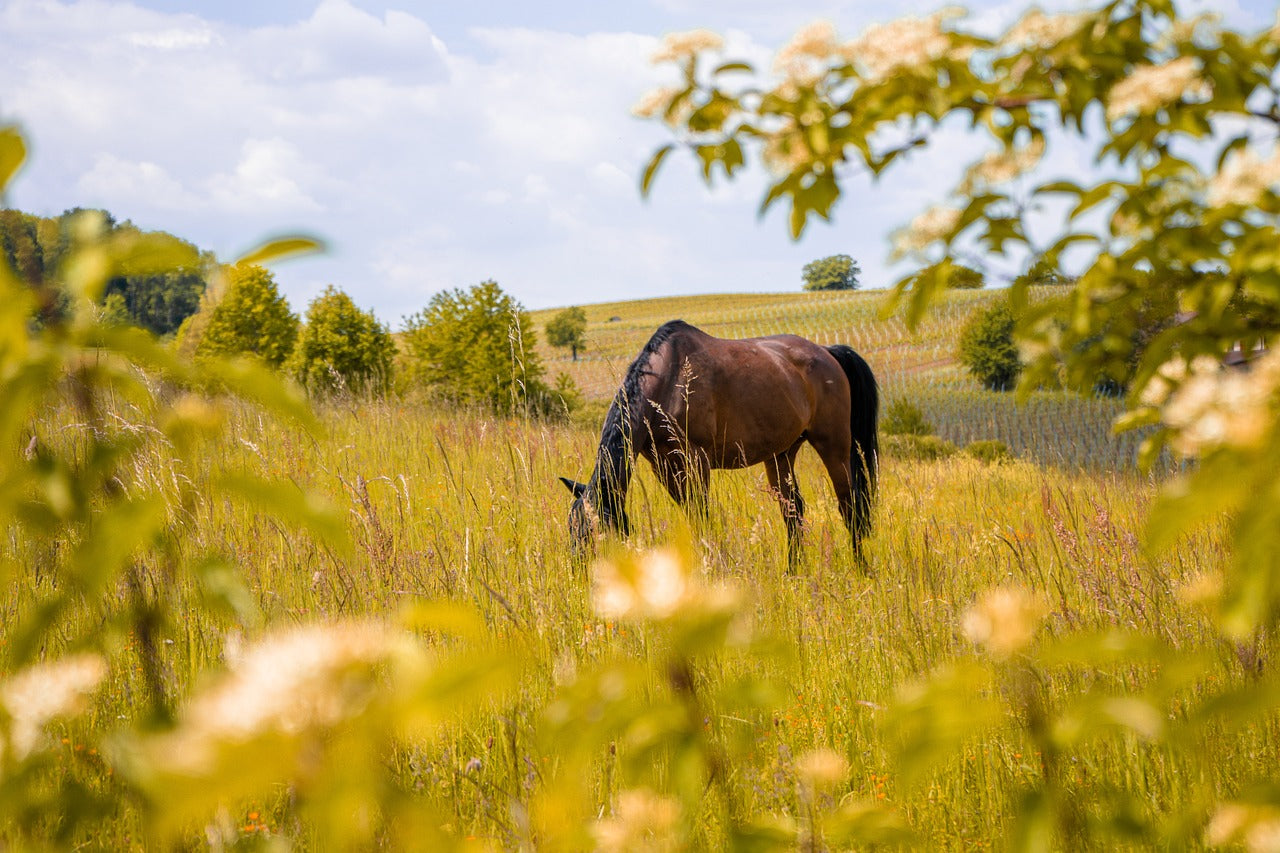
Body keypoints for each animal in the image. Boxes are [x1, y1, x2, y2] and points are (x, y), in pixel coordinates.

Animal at [559, 320, 878, 566]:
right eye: (572, 526)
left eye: (596, 530)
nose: (579, 570)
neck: (668, 382)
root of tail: (827, 353)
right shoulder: (665, 467)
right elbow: (691, 517)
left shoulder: (696, 461)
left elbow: (702, 517)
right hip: (782, 454)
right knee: (793, 510)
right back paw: (794, 570)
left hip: (834, 445)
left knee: (850, 506)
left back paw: (860, 567)